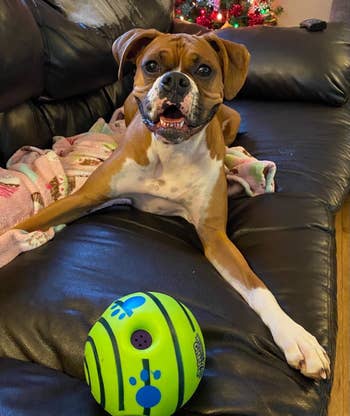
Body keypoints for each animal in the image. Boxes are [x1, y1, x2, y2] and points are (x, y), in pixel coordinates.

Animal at [13, 29, 330, 380]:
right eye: (151, 65)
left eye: (204, 70)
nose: (175, 81)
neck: (171, 151)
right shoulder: (82, 198)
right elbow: (24, 225)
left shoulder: (215, 237)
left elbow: (258, 288)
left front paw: (296, 336)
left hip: (233, 118)